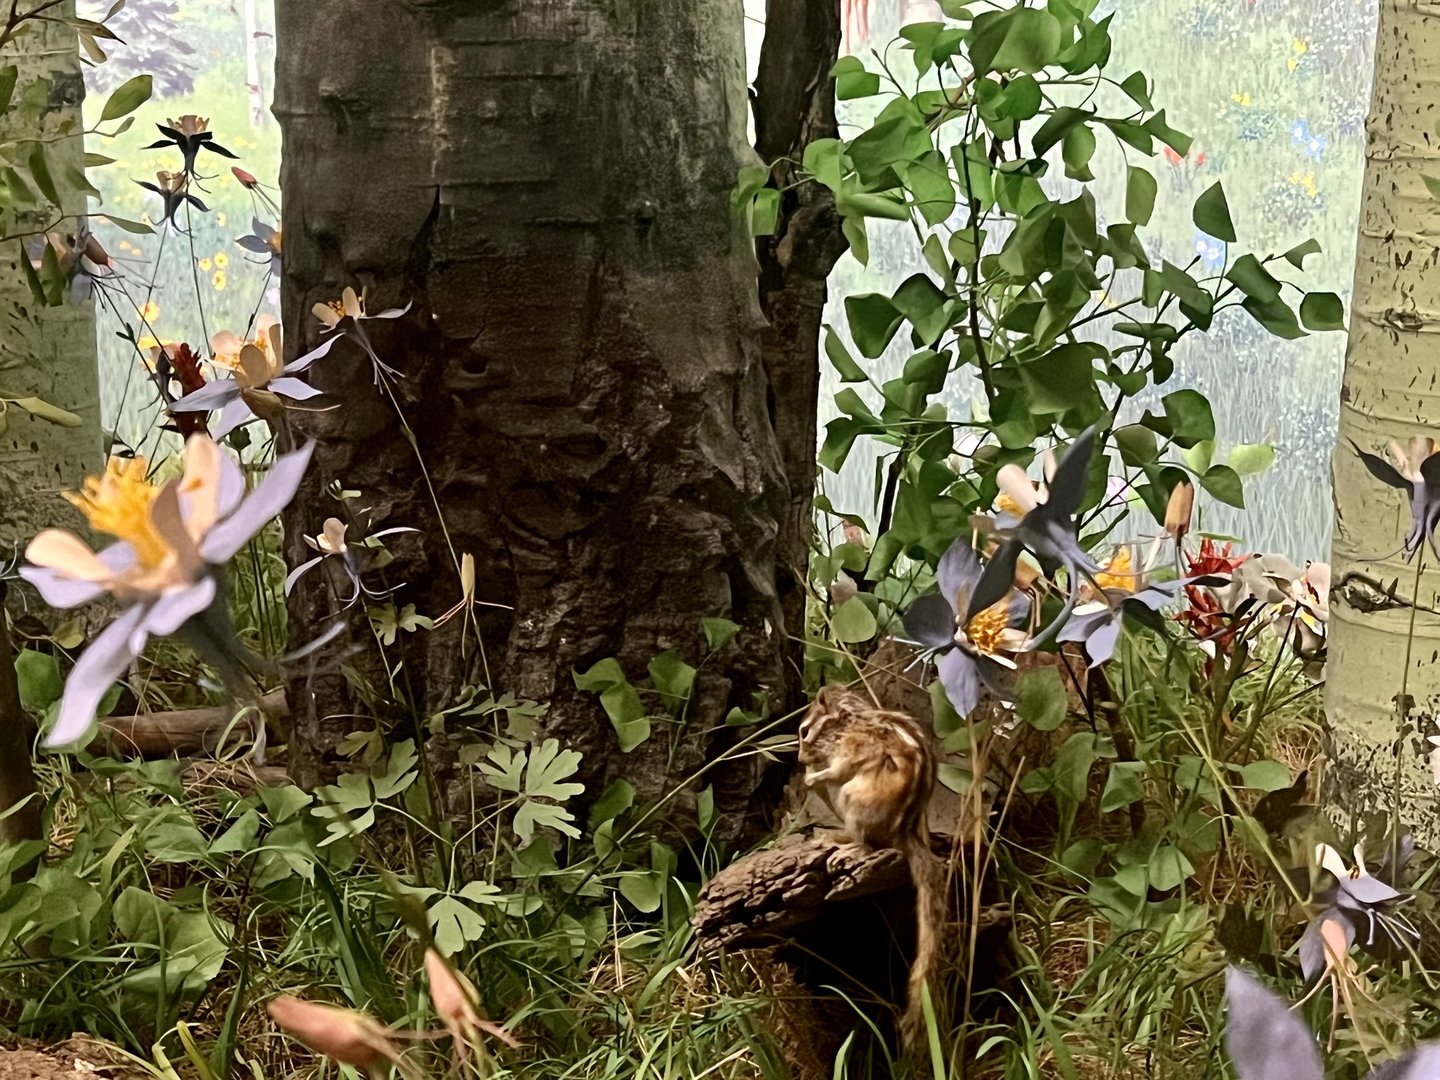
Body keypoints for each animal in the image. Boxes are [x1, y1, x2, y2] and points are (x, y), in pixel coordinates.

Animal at [797, 684, 945, 1051]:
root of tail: (904, 832)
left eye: (804, 731)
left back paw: (841, 843)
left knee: (868, 843)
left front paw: (813, 775)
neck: (848, 721)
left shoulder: (852, 752)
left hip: (852, 798)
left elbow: (836, 769)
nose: (800, 760)